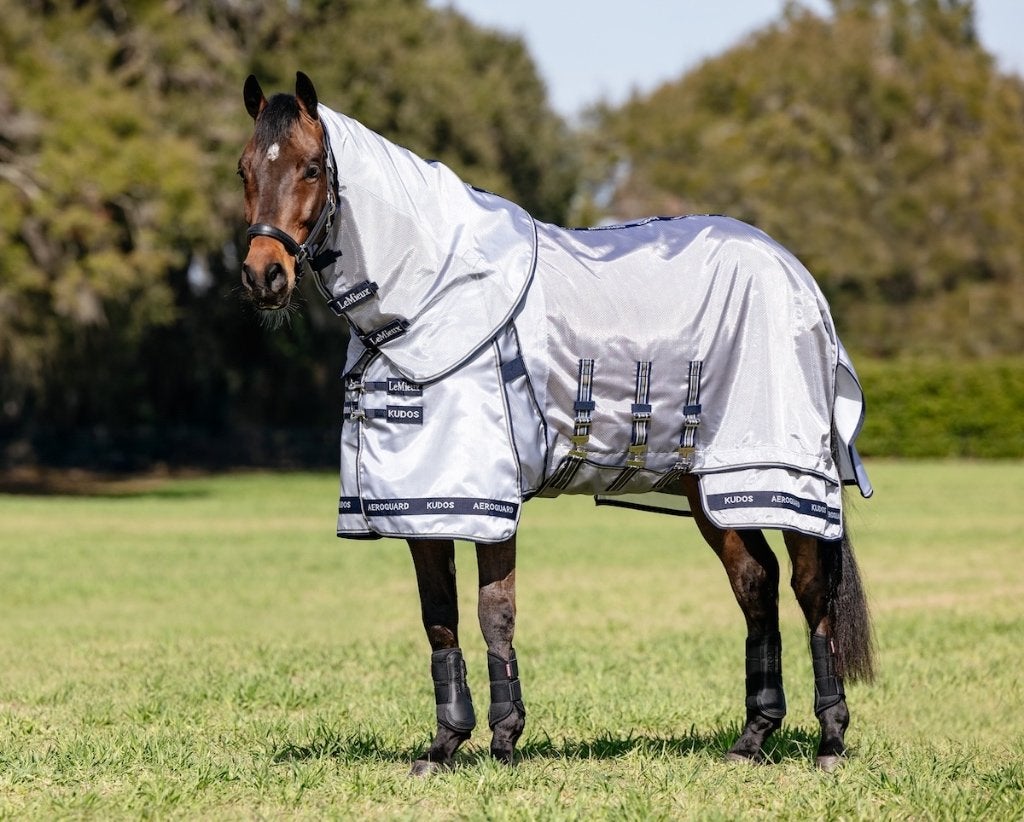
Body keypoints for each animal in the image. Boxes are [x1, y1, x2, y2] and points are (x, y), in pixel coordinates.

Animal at [237, 72, 875, 775]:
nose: (264, 275)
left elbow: (494, 611)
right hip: (708, 487)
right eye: (244, 169)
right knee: (756, 586)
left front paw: (504, 739)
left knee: (811, 590)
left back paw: (831, 740)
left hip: (780, 477)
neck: (431, 295)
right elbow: (439, 617)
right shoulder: (421, 503)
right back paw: (752, 738)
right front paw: (444, 744)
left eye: (311, 167)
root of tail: (797, 274)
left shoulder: (484, 500)